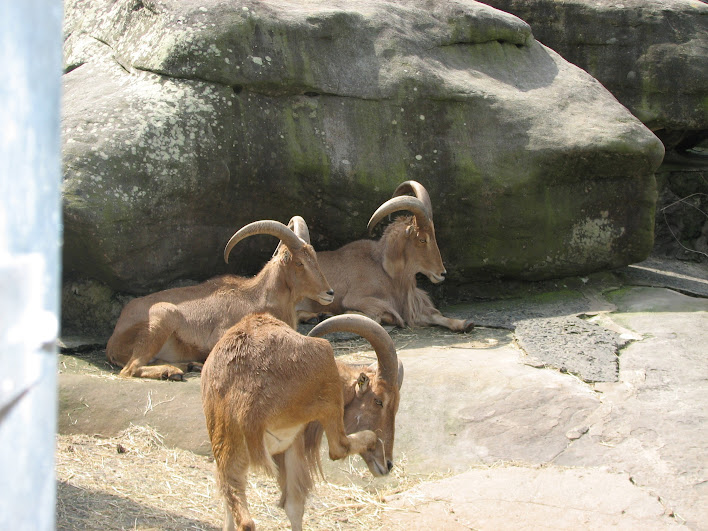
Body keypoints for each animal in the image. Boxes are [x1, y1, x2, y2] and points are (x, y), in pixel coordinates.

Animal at [106, 217, 333, 380]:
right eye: (299, 263)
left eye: (314, 257)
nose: (329, 293)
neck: (258, 297)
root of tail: (112, 342)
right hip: (163, 315)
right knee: (130, 369)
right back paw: (171, 372)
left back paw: (187, 366)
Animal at [201, 312, 403, 531]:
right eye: (379, 401)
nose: (388, 464)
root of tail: (244, 403)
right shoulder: (297, 439)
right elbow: (295, 505)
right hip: (324, 360)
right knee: (338, 447)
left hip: (230, 449)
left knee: (239, 511)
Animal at [297, 180, 474, 332]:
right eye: (422, 239)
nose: (442, 273)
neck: (384, 270)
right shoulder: (357, 298)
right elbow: (379, 316)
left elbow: (435, 315)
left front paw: (465, 324)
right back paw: (317, 316)